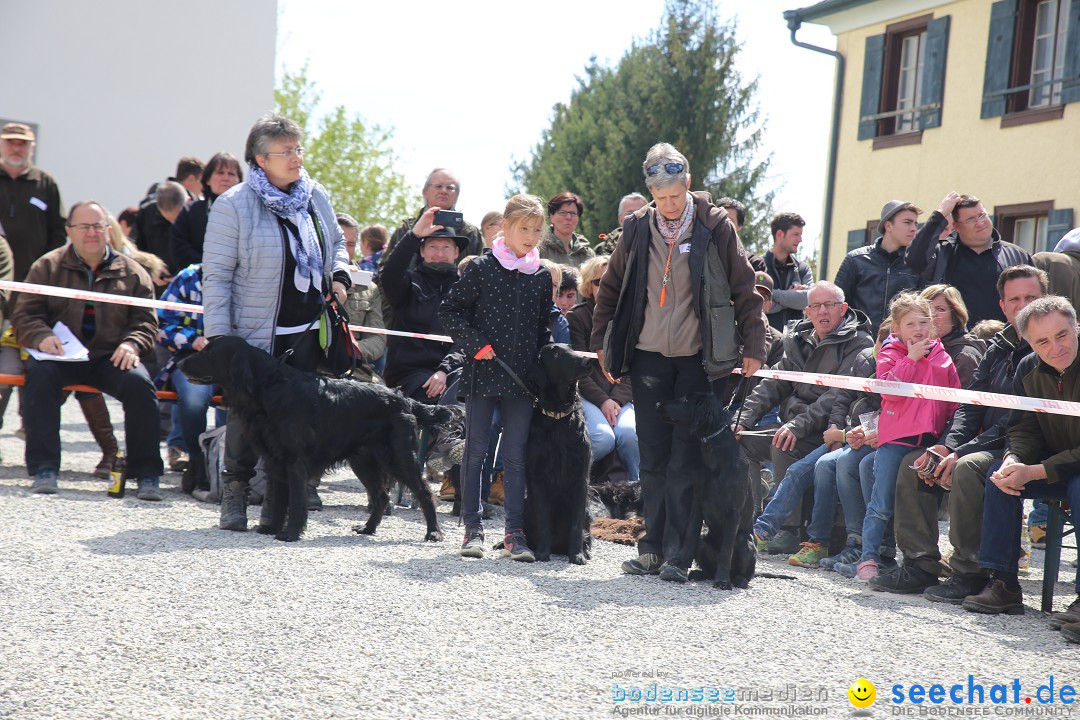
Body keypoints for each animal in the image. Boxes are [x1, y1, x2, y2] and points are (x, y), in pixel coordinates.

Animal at [179, 338, 449, 539]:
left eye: (210, 352)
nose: (180, 363)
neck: (271, 387)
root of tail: (404, 399)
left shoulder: (295, 460)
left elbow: (297, 500)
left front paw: (290, 533)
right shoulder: (276, 460)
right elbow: (279, 500)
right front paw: (271, 528)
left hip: (398, 458)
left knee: (424, 492)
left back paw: (434, 532)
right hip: (363, 461)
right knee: (381, 496)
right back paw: (367, 528)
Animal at [518, 343, 596, 561]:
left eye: (572, 348)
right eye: (555, 353)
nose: (588, 360)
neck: (558, 417)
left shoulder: (581, 479)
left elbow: (576, 524)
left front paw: (577, 555)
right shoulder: (538, 477)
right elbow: (544, 521)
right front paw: (543, 553)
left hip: (589, 510)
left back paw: (585, 551)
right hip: (526, 504)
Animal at [652, 395, 756, 591]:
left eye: (685, 400)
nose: (657, 404)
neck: (715, 454)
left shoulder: (733, 512)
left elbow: (726, 551)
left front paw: (722, 581)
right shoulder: (698, 502)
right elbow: (690, 535)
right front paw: (679, 561)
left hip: (744, 540)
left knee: (746, 573)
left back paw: (737, 579)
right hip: (704, 540)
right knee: (706, 563)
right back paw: (700, 573)